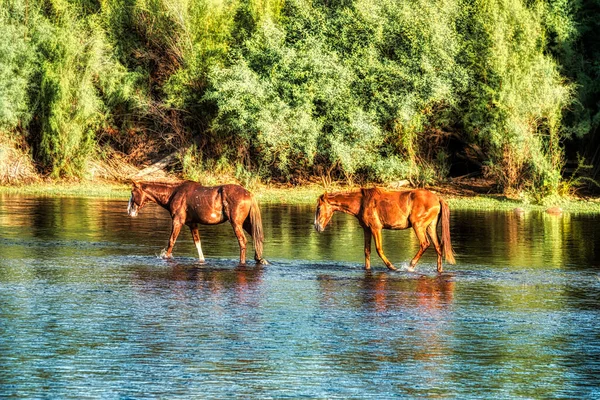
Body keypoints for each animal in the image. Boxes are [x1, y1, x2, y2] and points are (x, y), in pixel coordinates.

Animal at [127, 182, 266, 266]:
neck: (173, 194)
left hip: (236, 223)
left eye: (132, 193)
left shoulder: (177, 221)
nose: (129, 211)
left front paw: (166, 257)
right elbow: (198, 244)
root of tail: (249, 194)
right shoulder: (192, 224)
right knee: (256, 238)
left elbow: (171, 241)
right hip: (246, 223)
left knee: (242, 241)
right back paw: (260, 259)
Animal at [316, 188, 452, 272]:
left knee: (425, 244)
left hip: (418, 225)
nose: (317, 226)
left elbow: (379, 249)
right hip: (430, 227)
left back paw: (410, 265)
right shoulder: (367, 229)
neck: (362, 203)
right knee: (438, 247)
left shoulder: (376, 228)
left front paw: (392, 267)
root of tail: (438, 198)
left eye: (318, 208)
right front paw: (367, 268)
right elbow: (367, 251)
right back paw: (439, 270)